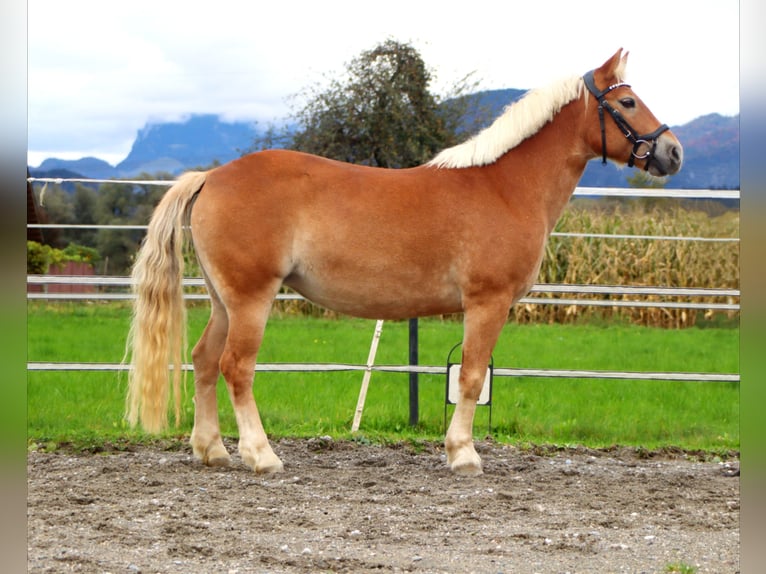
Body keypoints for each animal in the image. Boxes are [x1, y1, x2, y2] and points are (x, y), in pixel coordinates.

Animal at [126, 50, 684, 476]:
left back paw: (212, 450)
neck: (505, 186)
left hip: (224, 300)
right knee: (236, 367)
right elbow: (471, 377)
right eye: (627, 101)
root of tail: (211, 176)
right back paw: (261, 456)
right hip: (251, 298)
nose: (673, 152)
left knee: (203, 360)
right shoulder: (488, 303)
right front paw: (463, 455)